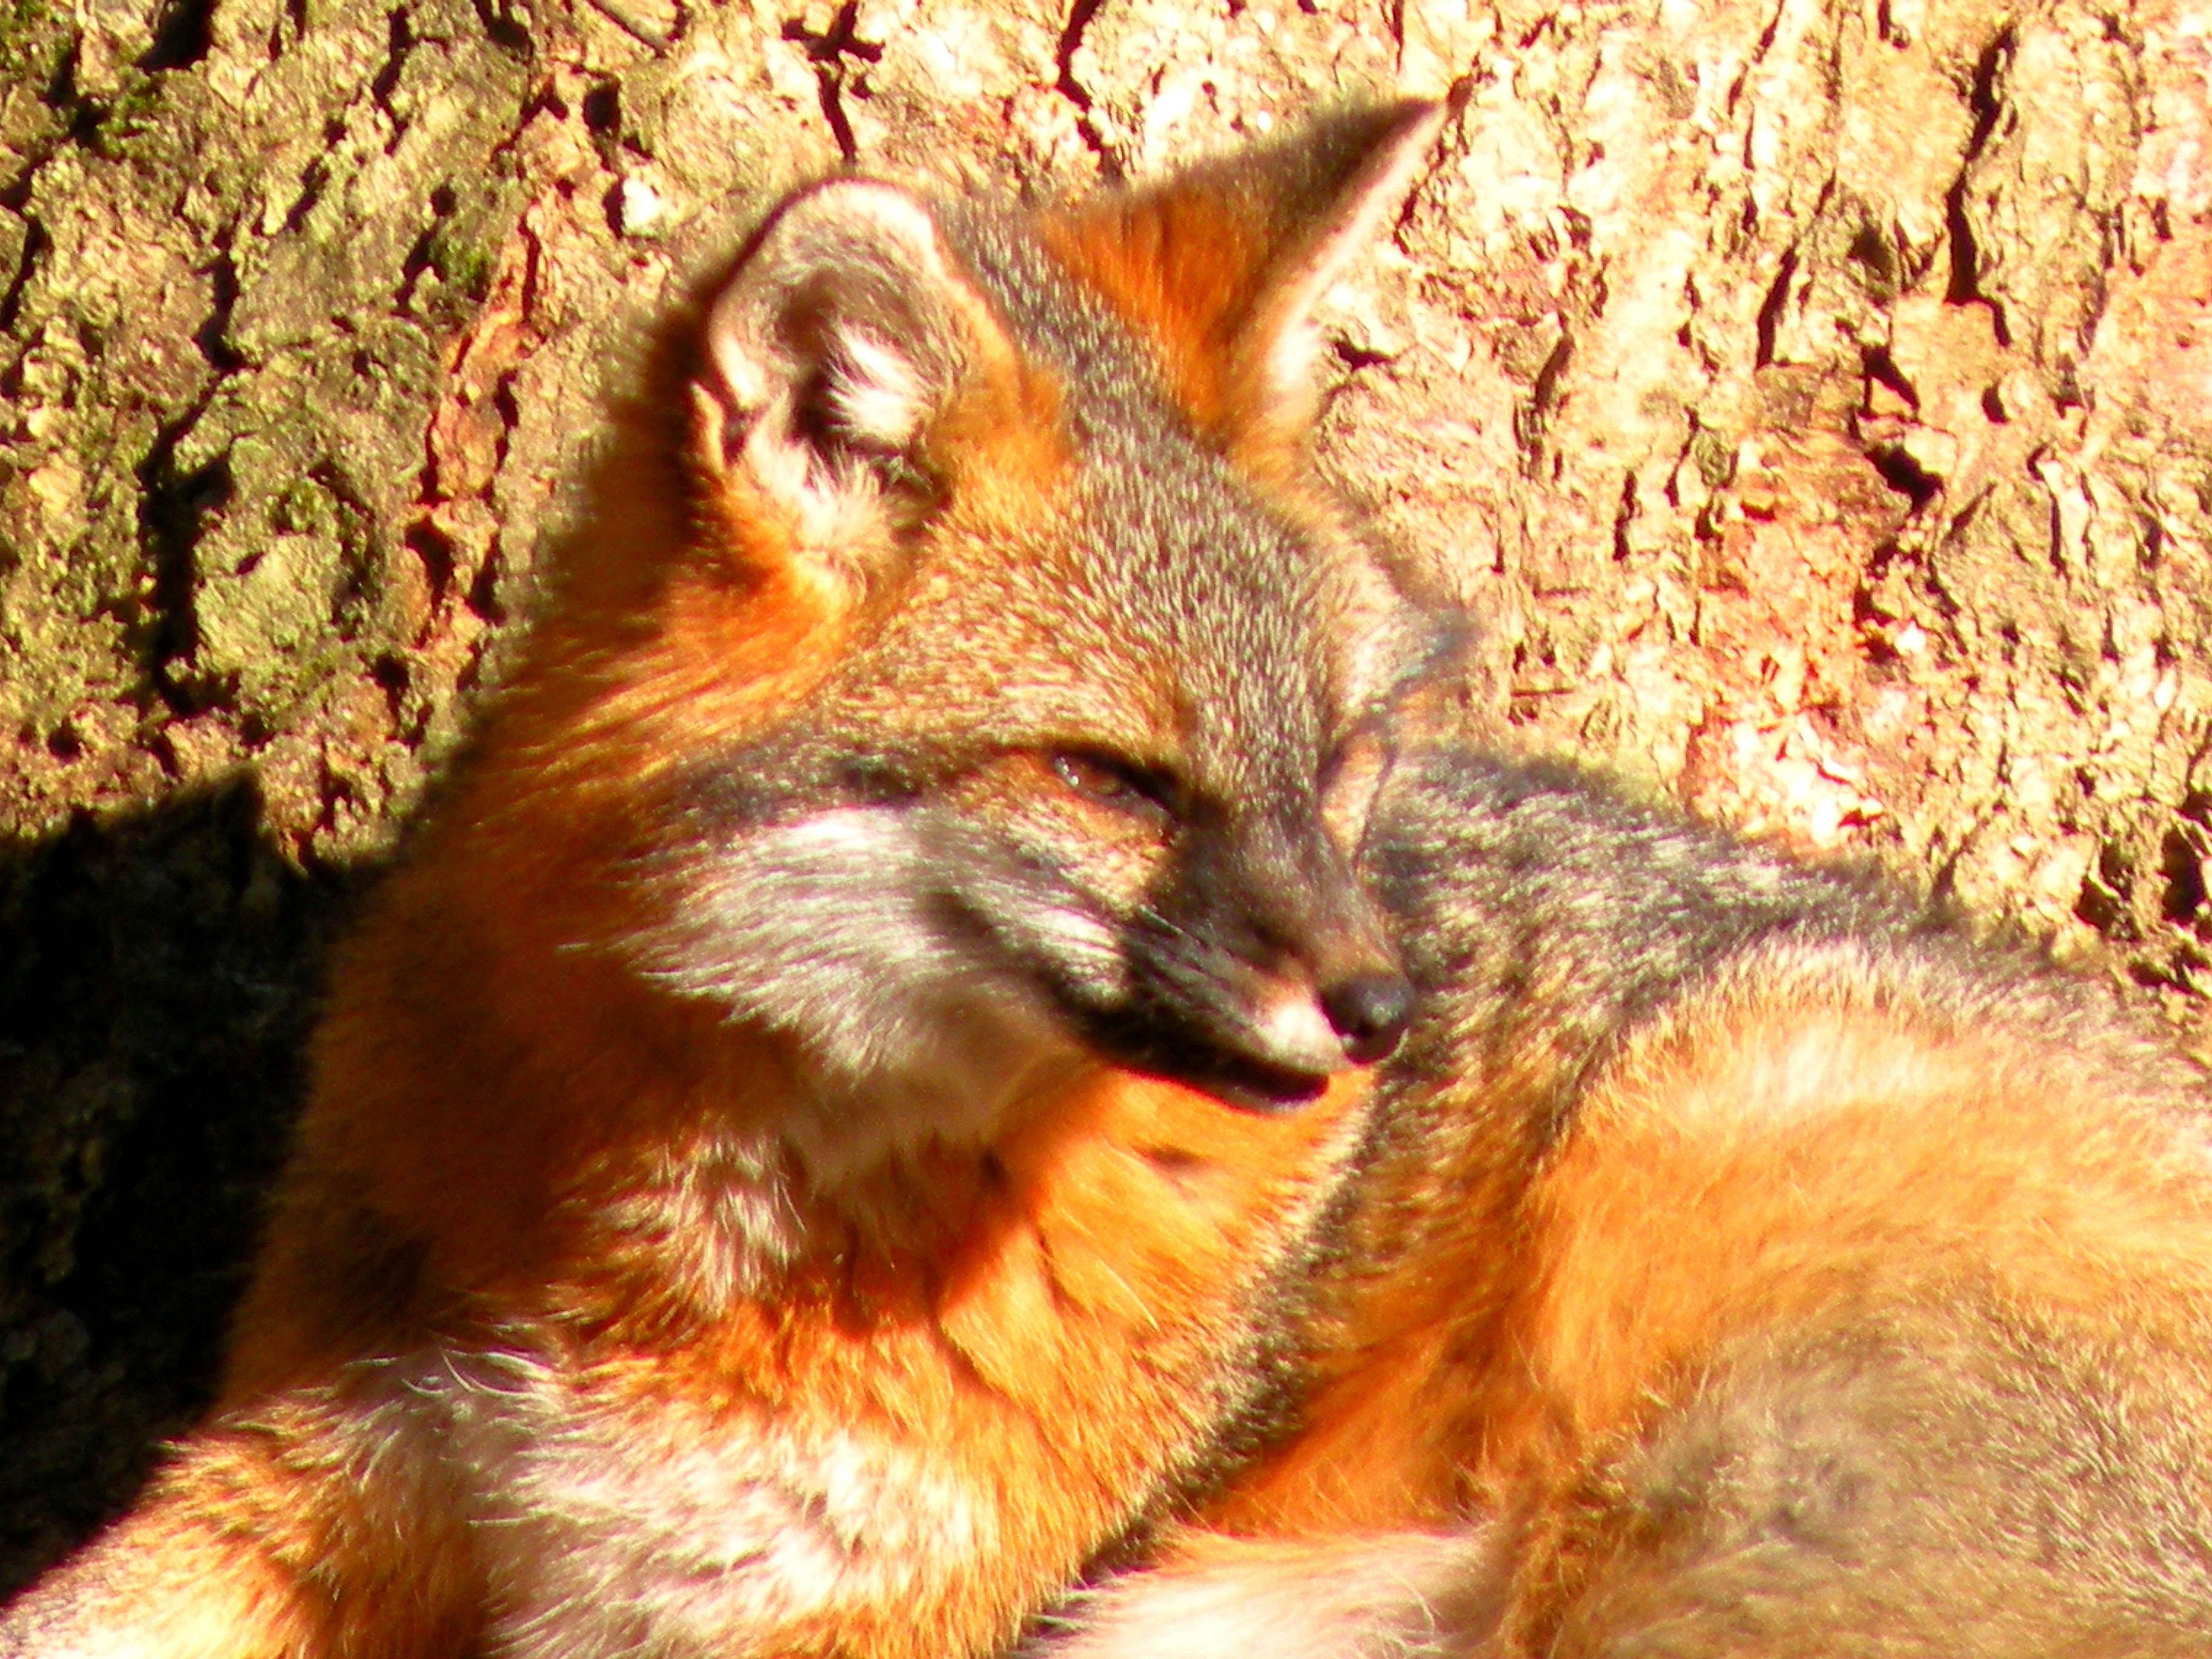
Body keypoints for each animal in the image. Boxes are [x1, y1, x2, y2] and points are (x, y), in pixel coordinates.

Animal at [8, 90, 2212, 1659]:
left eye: (1340, 756)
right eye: (1111, 780)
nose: (1384, 1012)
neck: (696, 1229)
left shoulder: (851, 1602)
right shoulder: (322, 1464)